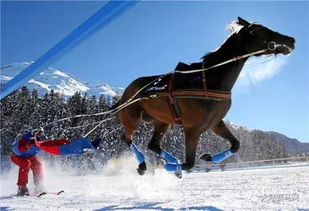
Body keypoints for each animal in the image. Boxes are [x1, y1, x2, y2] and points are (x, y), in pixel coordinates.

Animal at [112, 16, 294, 175]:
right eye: (259, 31)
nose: (291, 40)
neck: (207, 80)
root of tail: (126, 93)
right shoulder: (192, 128)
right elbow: (189, 163)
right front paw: (171, 167)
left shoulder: (215, 123)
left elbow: (235, 144)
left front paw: (207, 157)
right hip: (132, 118)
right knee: (126, 138)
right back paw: (144, 164)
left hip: (162, 122)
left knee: (153, 145)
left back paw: (170, 162)